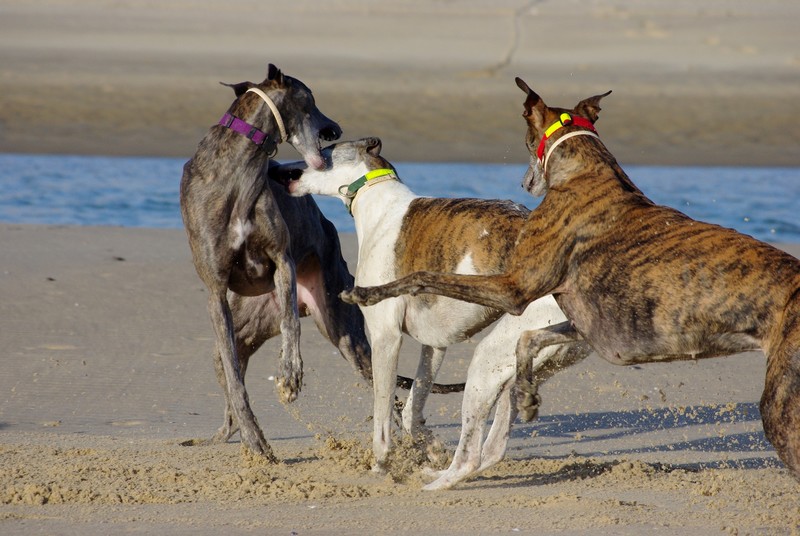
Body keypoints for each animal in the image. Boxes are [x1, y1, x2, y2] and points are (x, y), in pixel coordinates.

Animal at [270, 137, 589, 489]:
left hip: (492, 359)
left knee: (471, 456)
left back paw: (435, 485)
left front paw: (381, 465)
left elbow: (383, 415)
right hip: (522, 366)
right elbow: (412, 410)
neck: (380, 200)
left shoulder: (385, 337)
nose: (277, 173)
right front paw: (432, 448)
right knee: (492, 449)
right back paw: (438, 472)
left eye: (322, 152)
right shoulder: (435, 344)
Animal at [342, 79, 800, 481]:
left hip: (779, 407)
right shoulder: (579, 323)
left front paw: (365, 292)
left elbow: (422, 276)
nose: (524, 184)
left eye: (527, 140)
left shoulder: (514, 289)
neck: (590, 171)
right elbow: (528, 342)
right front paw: (527, 397)